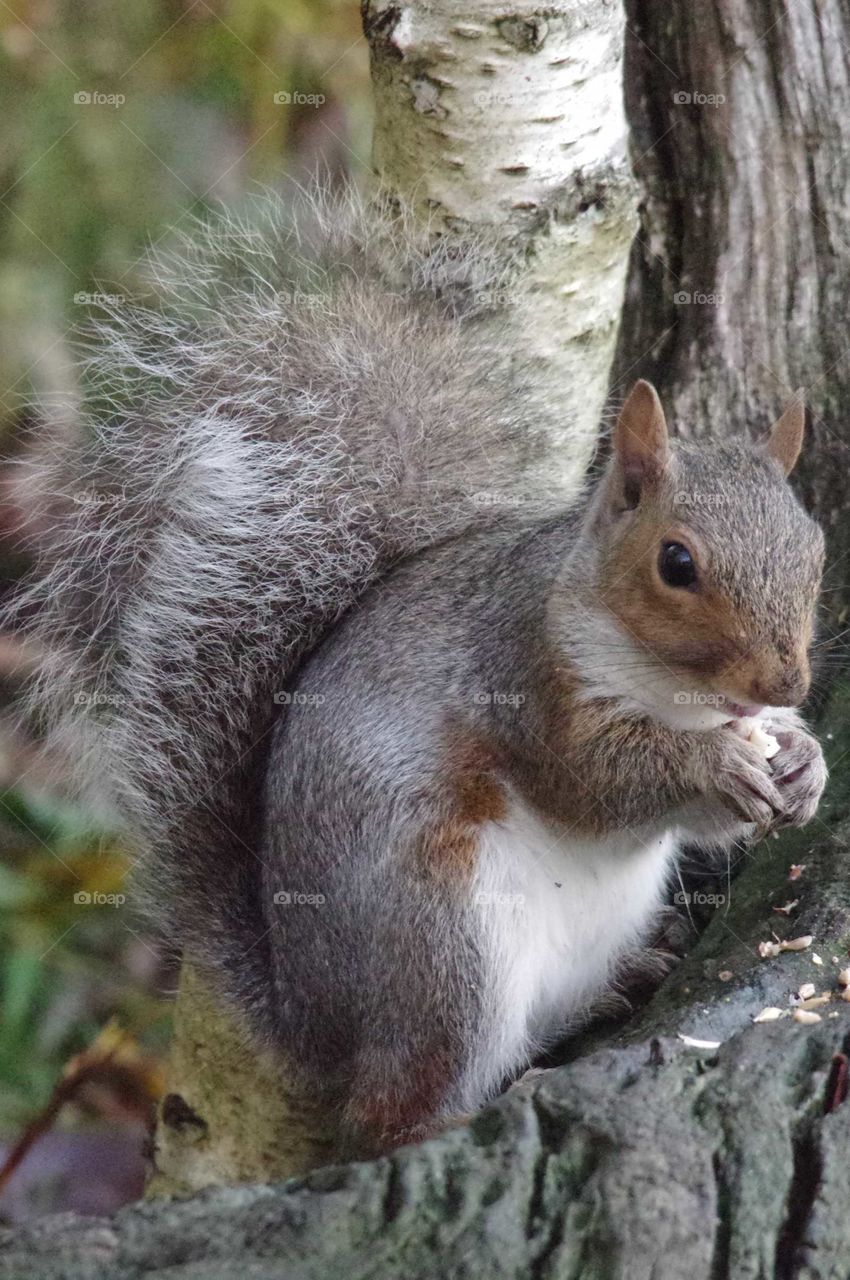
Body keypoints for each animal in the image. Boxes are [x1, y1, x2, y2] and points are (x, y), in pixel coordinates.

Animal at [9, 186, 827, 1160]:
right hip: (442, 938)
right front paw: (715, 764)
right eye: (676, 563)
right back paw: (469, 1108)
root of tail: (320, 1026)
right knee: (388, 1119)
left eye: (815, 547)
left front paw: (802, 761)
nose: (783, 685)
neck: (679, 694)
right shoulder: (526, 676)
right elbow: (594, 782)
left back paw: (624, 980)